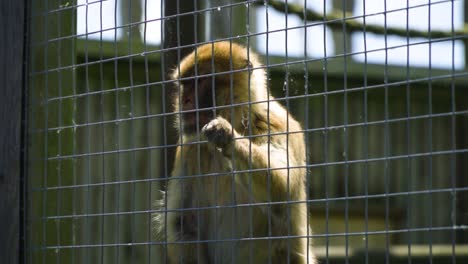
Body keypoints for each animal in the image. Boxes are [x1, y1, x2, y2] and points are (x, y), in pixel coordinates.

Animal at [154, 41, 318, 264]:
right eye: (185, 84)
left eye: (199, 82)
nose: (184, 100)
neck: (240, 120)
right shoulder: (189, 148)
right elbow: (184, 224)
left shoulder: (274, 123)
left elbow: (281, 192)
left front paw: (227, 137)